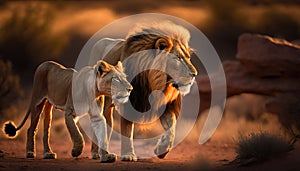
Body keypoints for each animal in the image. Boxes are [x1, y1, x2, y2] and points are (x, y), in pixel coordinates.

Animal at [3, 60, 132, 163]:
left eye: (125, 78)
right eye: (116, 79)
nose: (130, 89)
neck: (94, 92)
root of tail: (44, 63)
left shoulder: (97, 116)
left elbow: (102, 136)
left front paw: (106, 156)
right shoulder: (70, 112)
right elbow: (77, 134)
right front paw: (76, 151)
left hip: (48, 106)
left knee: (46, 130)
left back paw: (48, 153)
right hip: (37, 101)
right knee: (31, 129)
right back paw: (30, 152)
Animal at [90, 21, 198, 162]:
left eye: (188, 58)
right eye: (177, 58)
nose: (194, 74)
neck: (157, 84)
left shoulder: (166, 104)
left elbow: (171, 130)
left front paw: (161, 150)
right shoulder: (130, 102)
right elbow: (127, 131)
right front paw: (128, 155)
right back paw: (95, 153)